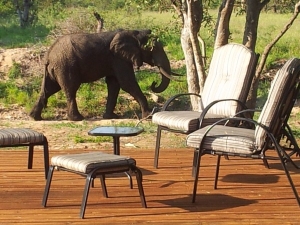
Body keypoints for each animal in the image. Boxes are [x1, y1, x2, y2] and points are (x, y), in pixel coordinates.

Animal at [29, 29, 177, 121]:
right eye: (153, 49)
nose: (153, 84)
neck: (135, 33)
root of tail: (48, 55)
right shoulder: (118, 58)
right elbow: (127, 82)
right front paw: (148, 116)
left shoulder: (115, 60)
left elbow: (114, 84)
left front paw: (111, 117)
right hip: (66, 66)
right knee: (71, 90)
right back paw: (77, 119)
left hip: (55, 69)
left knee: (48, 90)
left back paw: (34, 117)